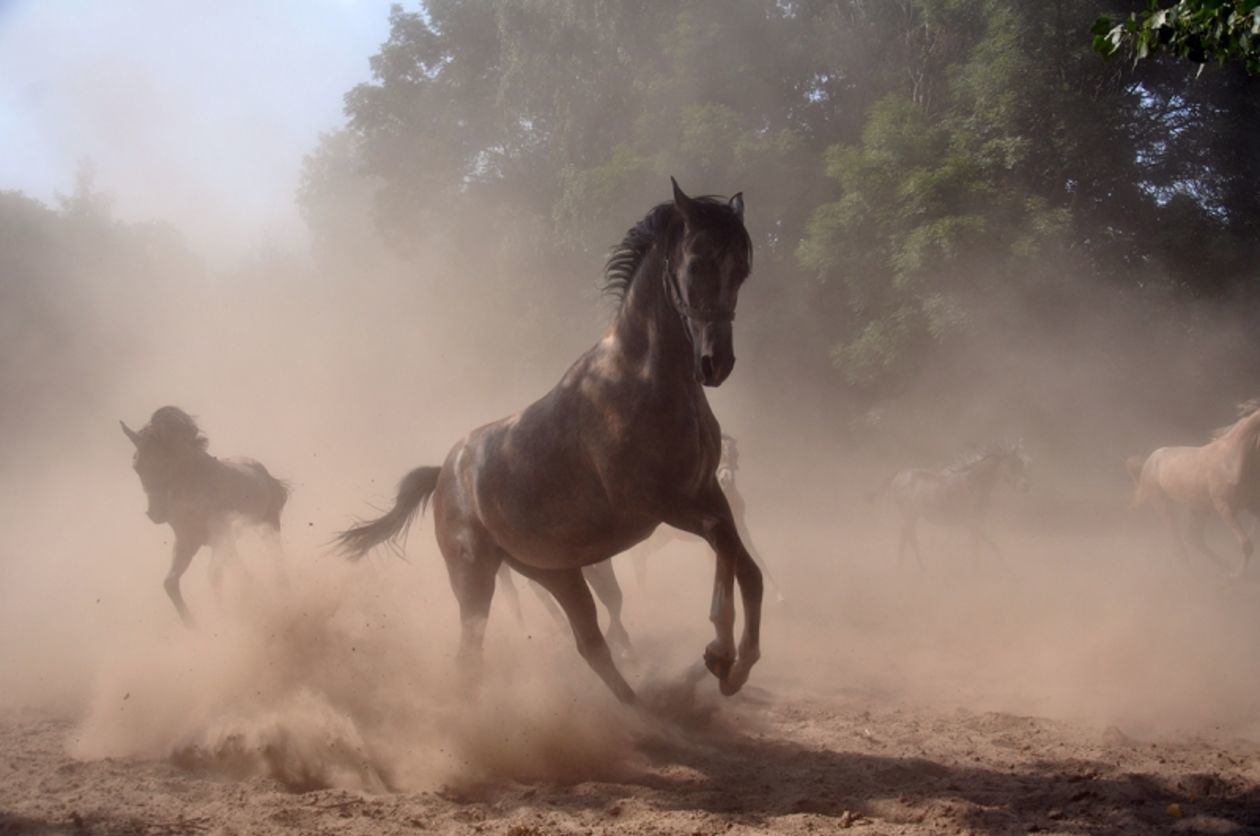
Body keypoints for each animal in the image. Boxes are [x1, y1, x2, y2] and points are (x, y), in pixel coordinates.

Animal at [337, 180, 766, 701]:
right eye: (697, 262)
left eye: (741, 269)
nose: (714, 363)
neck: (641, 380)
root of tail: (443, 473)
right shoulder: (658, 503)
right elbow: (723, 542)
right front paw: (721, 653)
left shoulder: (706, 491)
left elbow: (745, 565)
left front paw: (735, 665)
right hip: (475, 576)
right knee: (473, 655)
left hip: (555, 573)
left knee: (592, 643)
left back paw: (646, 705)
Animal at [871, 443, 1028, 569]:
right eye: (1011, 465)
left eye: (1021, 464)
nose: (1026, 486)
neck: (973, 484)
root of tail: (899, 474)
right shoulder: (971, 522)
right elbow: (992, 544)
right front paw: (1008, 570)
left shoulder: (978, 520)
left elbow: (977, 546)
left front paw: (976, 569)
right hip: (910, 514)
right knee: (908, 536)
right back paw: (920, 568)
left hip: (913, 516)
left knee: (906, 535)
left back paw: (903, 566)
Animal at [1128, 400, 1260, 582]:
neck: (1233, 461)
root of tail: (1150, 460)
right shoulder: (1225, 508)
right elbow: (1246, 545)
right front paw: (1236, 577)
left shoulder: (1250, 504)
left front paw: (1233, 575)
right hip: (1163, 504)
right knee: (1179, 543)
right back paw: (1195, 578)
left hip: (1199, 508)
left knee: (1195, 539)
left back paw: (1224, 570)